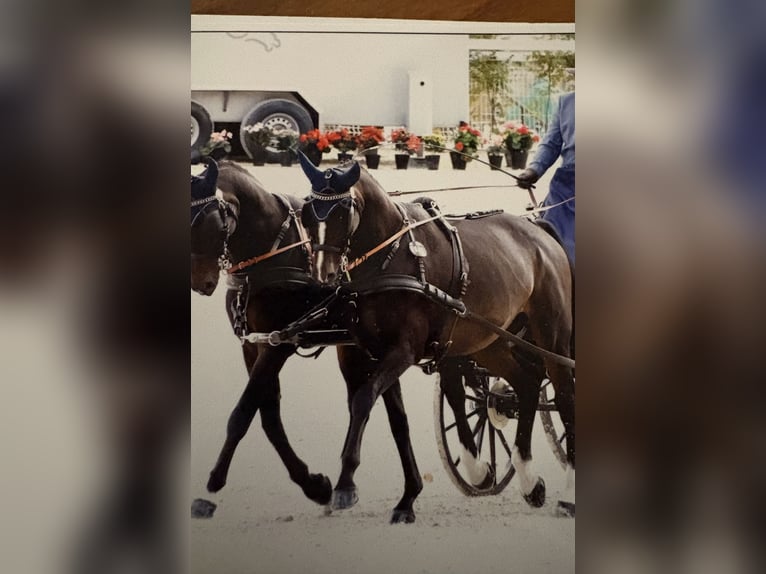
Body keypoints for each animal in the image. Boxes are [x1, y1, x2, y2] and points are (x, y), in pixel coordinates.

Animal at [191, 159, 426, 522]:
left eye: (212, 223)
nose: (199, 282)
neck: (271, 252)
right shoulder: (254, 345)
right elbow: (269, 417)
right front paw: (314, 484)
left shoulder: (278, 345)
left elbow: (243, 412)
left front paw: (214, 481)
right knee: (391, 415)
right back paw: (401, 492)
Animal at [298, 153, 576, 517]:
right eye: (307, 211)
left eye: (345, 209)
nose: (323, 275)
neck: (391, 257)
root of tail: (539, 232)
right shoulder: (376, 351)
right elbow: (391, 414)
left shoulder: (404, 350)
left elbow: (364, 400)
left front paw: (346, 485)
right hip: (490, 341)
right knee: (527, 383)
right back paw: (529, 480)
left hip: (552, 335)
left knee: (564, 394)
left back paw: (569, 490)